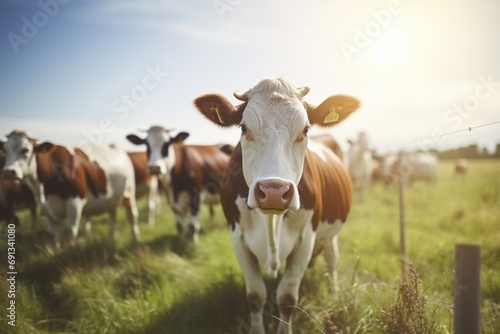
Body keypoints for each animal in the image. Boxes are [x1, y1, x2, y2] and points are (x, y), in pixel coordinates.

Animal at [1, 132, 141, 247]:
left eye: (25, 150)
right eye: (5, 151)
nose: (8, 172)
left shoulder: (75, 202)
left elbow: (70, 231)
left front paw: (70, 252)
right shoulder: (45, 210)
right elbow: (54, 234)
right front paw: (57, 251)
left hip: (129, 193)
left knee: (132, 216)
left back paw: (135, 240)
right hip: (111, 199)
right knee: (112, 217)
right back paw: (112, 238)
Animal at [192, 77, 360, 334]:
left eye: (305, 129)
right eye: (244, 128)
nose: (273, 191)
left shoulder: (306, 240)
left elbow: (287, 299)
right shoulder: (238, 238)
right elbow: (255, 296)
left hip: (331, 233)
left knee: (332, 259)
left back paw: (334, 292)